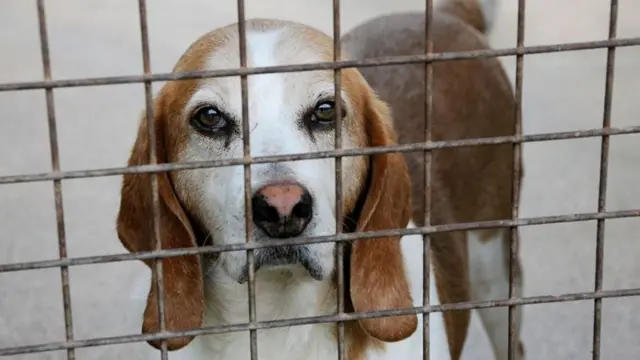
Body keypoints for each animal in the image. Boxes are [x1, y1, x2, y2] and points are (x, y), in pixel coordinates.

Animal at [119, 0, 524, 360]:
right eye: (210, 117)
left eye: (325, 111)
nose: (282, 208)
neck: (279, 322)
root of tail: (446, 14)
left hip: (496, 271)